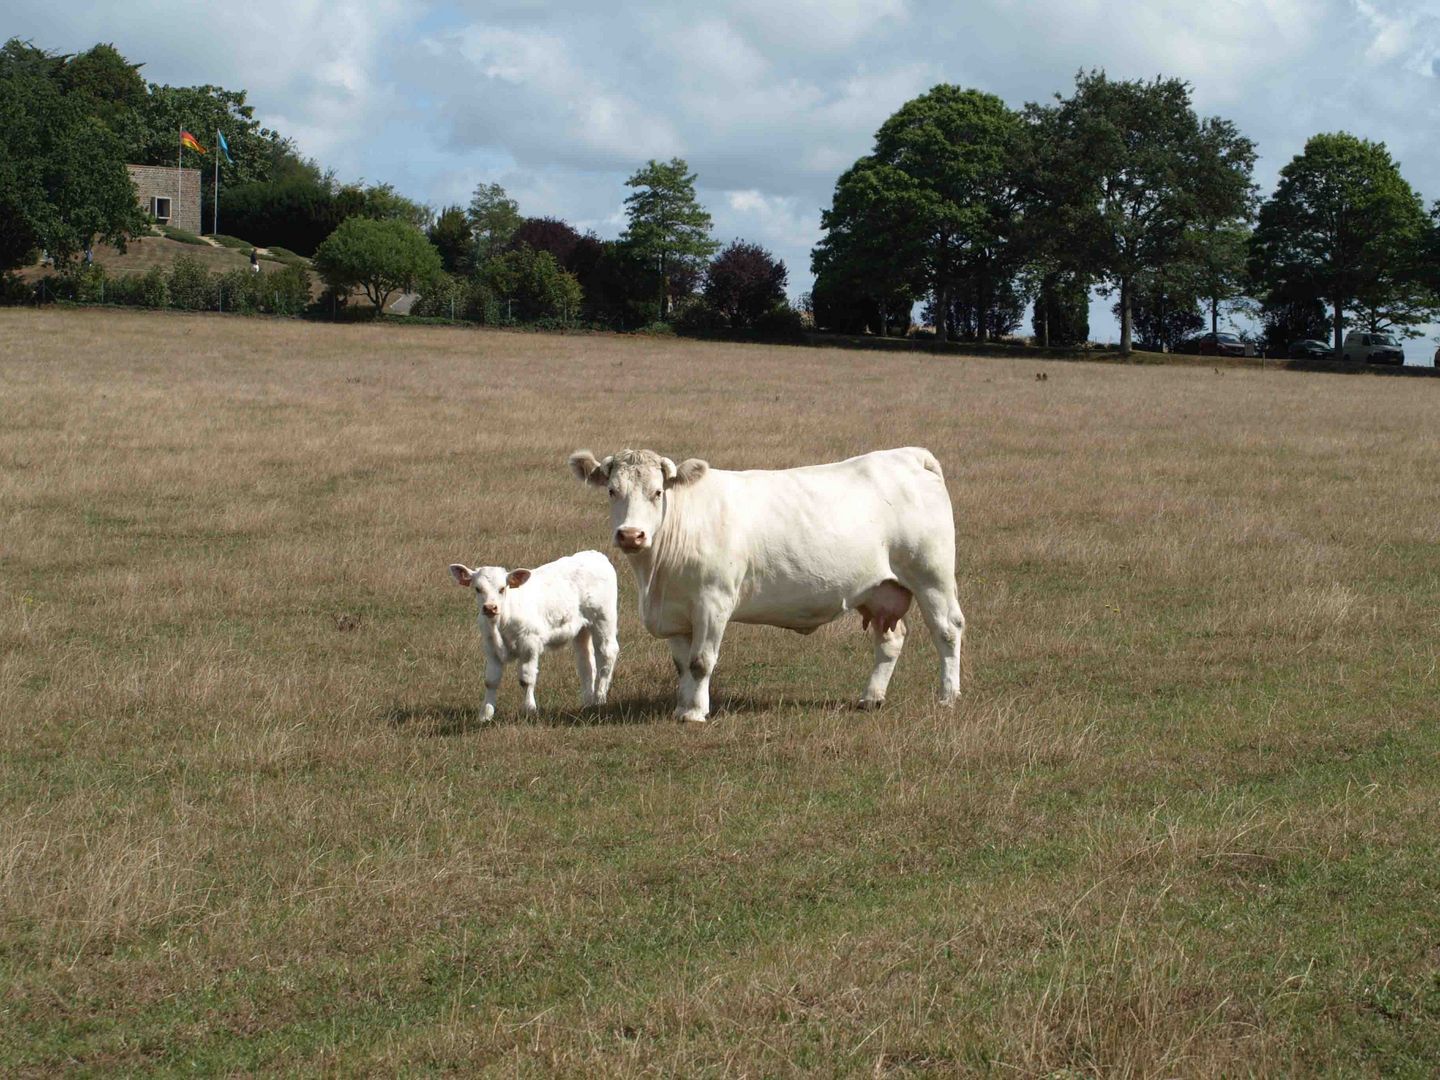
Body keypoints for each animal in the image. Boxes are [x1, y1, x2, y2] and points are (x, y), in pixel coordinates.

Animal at [443, 552, 613, 722]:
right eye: (478, 589)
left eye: (502, 588)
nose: (490, 608)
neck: (501, 623)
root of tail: (594, 554)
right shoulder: (490, 648)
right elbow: (491, 681)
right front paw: (486, 714)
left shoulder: (529, 645)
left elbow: (526, 679)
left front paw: (529, 710)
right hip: (581, 630)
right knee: (586, 663)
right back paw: (587, 702)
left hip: (603, 620)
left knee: (606, 656)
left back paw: (600, 699)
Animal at [564, 449, 967, 728]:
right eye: (612, 490)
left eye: (658, 492)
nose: (631, 535)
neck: (656, 577)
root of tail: (909, 455)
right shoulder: (676, 614)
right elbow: (681, 665)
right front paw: (682, 706)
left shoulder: (713, 603)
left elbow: (700, 661)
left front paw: (696, 712)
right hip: (879, 590)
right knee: (890, 639)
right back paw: (871, 698)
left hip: (931, 575)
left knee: (948, 630)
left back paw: (948, 696)